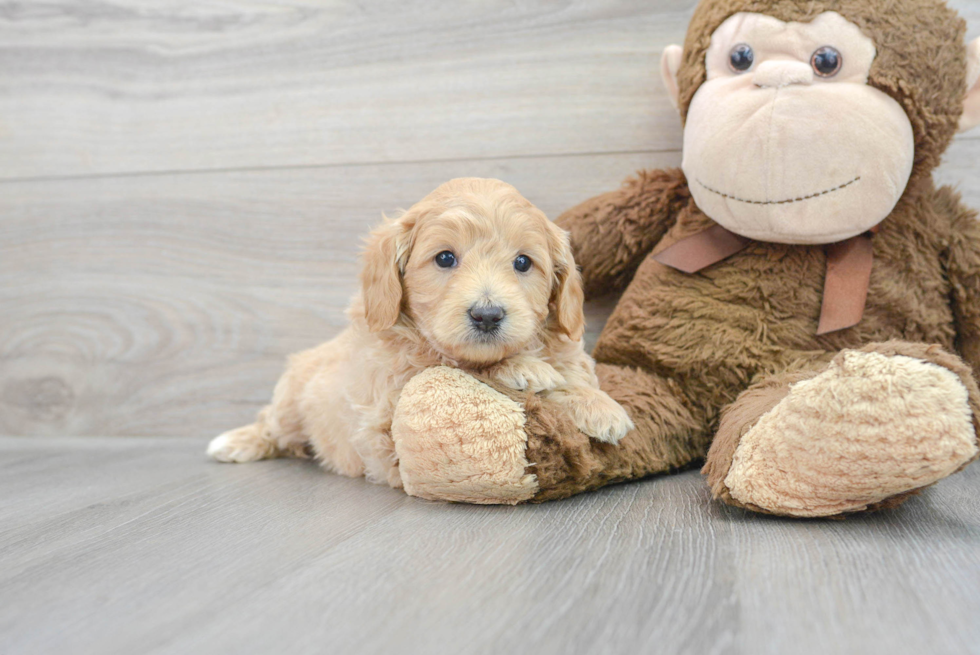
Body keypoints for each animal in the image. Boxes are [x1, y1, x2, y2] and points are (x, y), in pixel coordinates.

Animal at [210, 179, 632, 486]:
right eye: (444, 258)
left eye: (523, 263)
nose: (487, 315)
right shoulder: (387, 408)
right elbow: (452, 363)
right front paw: (523, 368)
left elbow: (570, 376)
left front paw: (598, 404)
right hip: (290, 400)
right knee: (271, 424)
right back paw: (235, 442)